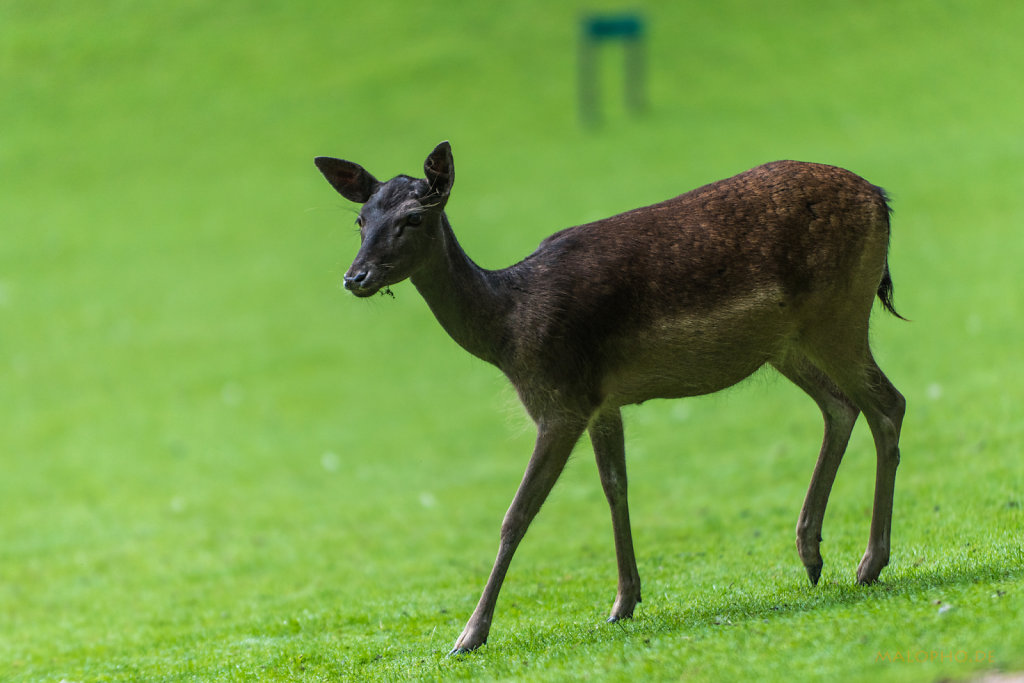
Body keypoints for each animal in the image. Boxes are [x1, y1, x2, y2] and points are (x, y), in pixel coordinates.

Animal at [311, 140, 905, 655]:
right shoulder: (603, 400)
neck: (508, 329)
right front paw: (624, 601)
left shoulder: (560, 401)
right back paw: (811, 554)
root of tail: (880, 196)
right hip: (788, 345)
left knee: (888, 404)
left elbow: (517, 513)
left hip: (838, 316)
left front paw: (468, 637)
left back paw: (869, 562)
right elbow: (615, 487)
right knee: (842, 406)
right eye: (361, 220)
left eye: (413, 218)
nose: (355, 277)